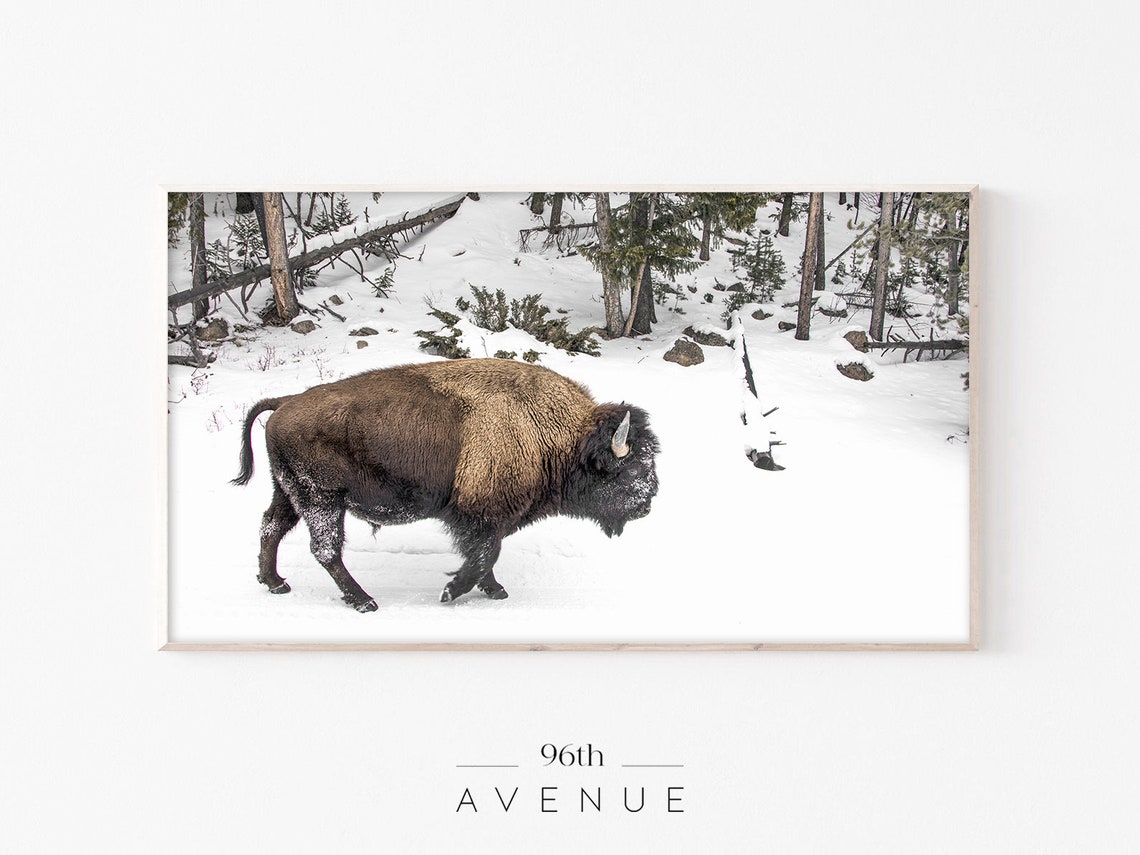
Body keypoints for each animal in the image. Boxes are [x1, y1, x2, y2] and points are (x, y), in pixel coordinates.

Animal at [233, 358, 660, 612]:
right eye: (632, 467)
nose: (648, 502)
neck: (555, 432)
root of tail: (284, 403)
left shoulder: (487, 519)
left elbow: (486, 556)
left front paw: (495, 590)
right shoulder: (478, 515)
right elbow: (485, 555)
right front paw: (451, 592)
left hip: (290, 493)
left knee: (272, 526)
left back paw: (275, 583)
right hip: (322, 499)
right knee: (325, 549)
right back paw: (364, 600)